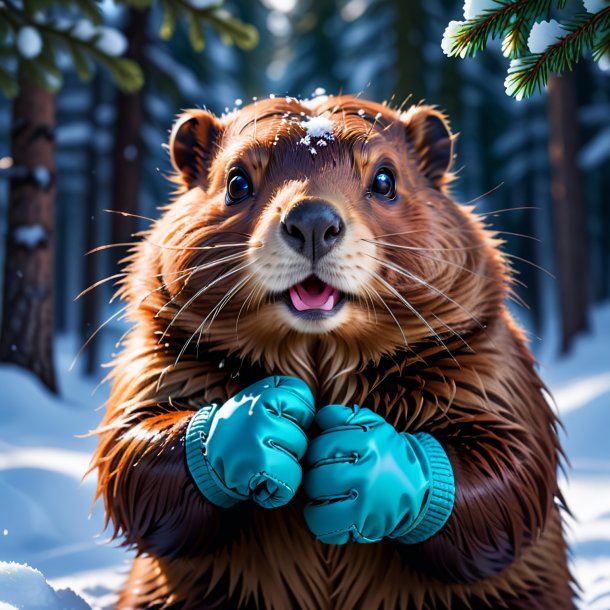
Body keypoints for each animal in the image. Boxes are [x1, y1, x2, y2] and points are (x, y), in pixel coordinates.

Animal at [92, 92, 576, 604]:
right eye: (237, 181)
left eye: (385, 179)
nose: (312, 221)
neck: (319, 353)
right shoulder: (157, 355)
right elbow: (130, 448)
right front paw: (258, 423)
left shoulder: (492, 363)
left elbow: (515, 463)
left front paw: (362, 459)